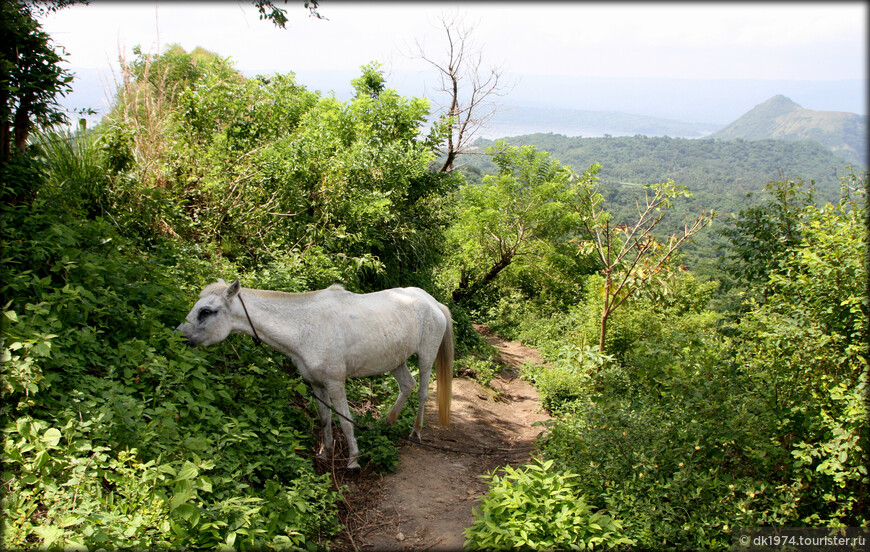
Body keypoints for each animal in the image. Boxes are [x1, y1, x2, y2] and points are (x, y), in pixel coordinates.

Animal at [174, 280, 454, 470]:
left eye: (206, 311)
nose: (178, 337)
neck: (304, 327)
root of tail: (432, 302)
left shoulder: (335, 383)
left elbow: (345, 421)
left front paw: (353, 460)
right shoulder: (316, 383)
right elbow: (324, 419)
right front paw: (324, 452)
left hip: (426, 356)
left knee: (421, 391)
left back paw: (415, 432)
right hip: (395, 360)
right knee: (407, 385)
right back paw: (387, 423)